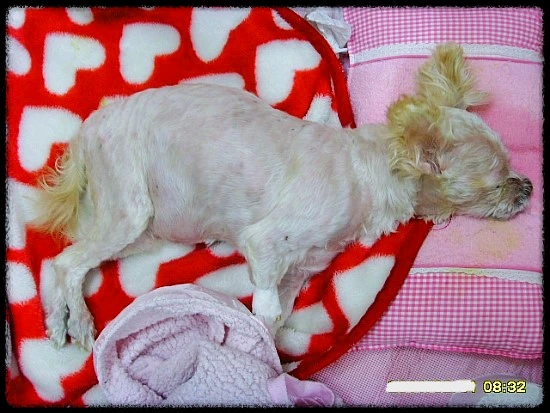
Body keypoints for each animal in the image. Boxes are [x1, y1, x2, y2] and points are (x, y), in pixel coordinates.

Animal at [31, 43, 532, 350]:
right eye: (498, 180)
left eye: (513, 168)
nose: (527, 186)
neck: (366, 173)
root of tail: (89, 127)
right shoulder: (265, 244)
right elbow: (265, 306)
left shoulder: (300, 272)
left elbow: (278, 316)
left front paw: (270, 356)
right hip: (130, 209)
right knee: (67, 262)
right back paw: (75, 322)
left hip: (146, 232)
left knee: (64, 263)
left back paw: (56, 317)